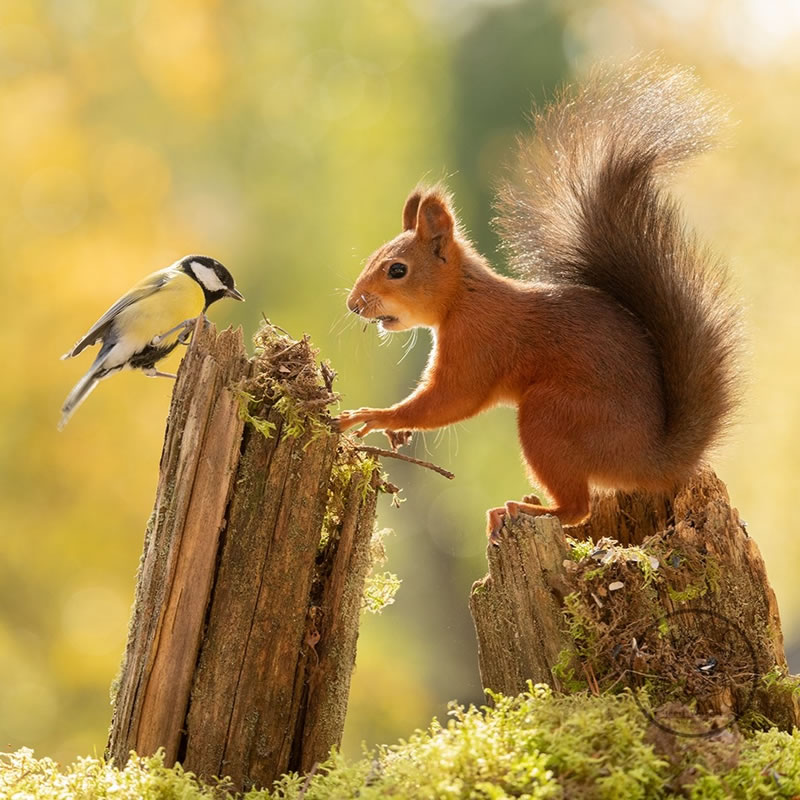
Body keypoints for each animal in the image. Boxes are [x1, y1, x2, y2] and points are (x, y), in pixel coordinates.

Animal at [334, 59, 740, 540]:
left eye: (397, 270)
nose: (354, 304)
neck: (463, 297)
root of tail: (650, 461)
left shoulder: (479, 342)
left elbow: (454, 398)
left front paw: (376, 416)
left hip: (550, 417)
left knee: (578, 508)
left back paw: (532, 511)